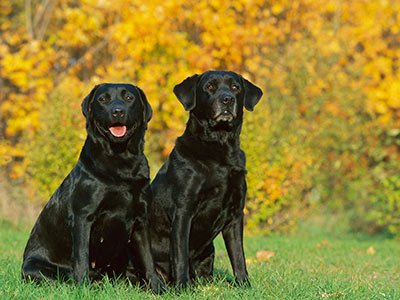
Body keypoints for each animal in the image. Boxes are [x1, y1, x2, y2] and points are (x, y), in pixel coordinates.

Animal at [21, 83, 166, 294]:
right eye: (103, 99)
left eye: (129, 98)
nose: (117, 111)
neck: (120, 161)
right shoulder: (83, 217)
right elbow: (82, 257)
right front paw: (83, 288)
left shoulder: (141, 219)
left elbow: (148, 258)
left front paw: (157, 288)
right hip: (34, 268)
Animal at [150, 69, 262, 288]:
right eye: (209, 86)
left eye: (235, 87)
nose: (227, 99)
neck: (219, 150)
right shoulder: (183, 210)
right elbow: (180, 255)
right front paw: (182, 288)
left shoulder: (236, 213)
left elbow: (239, 255)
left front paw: (245, 286)